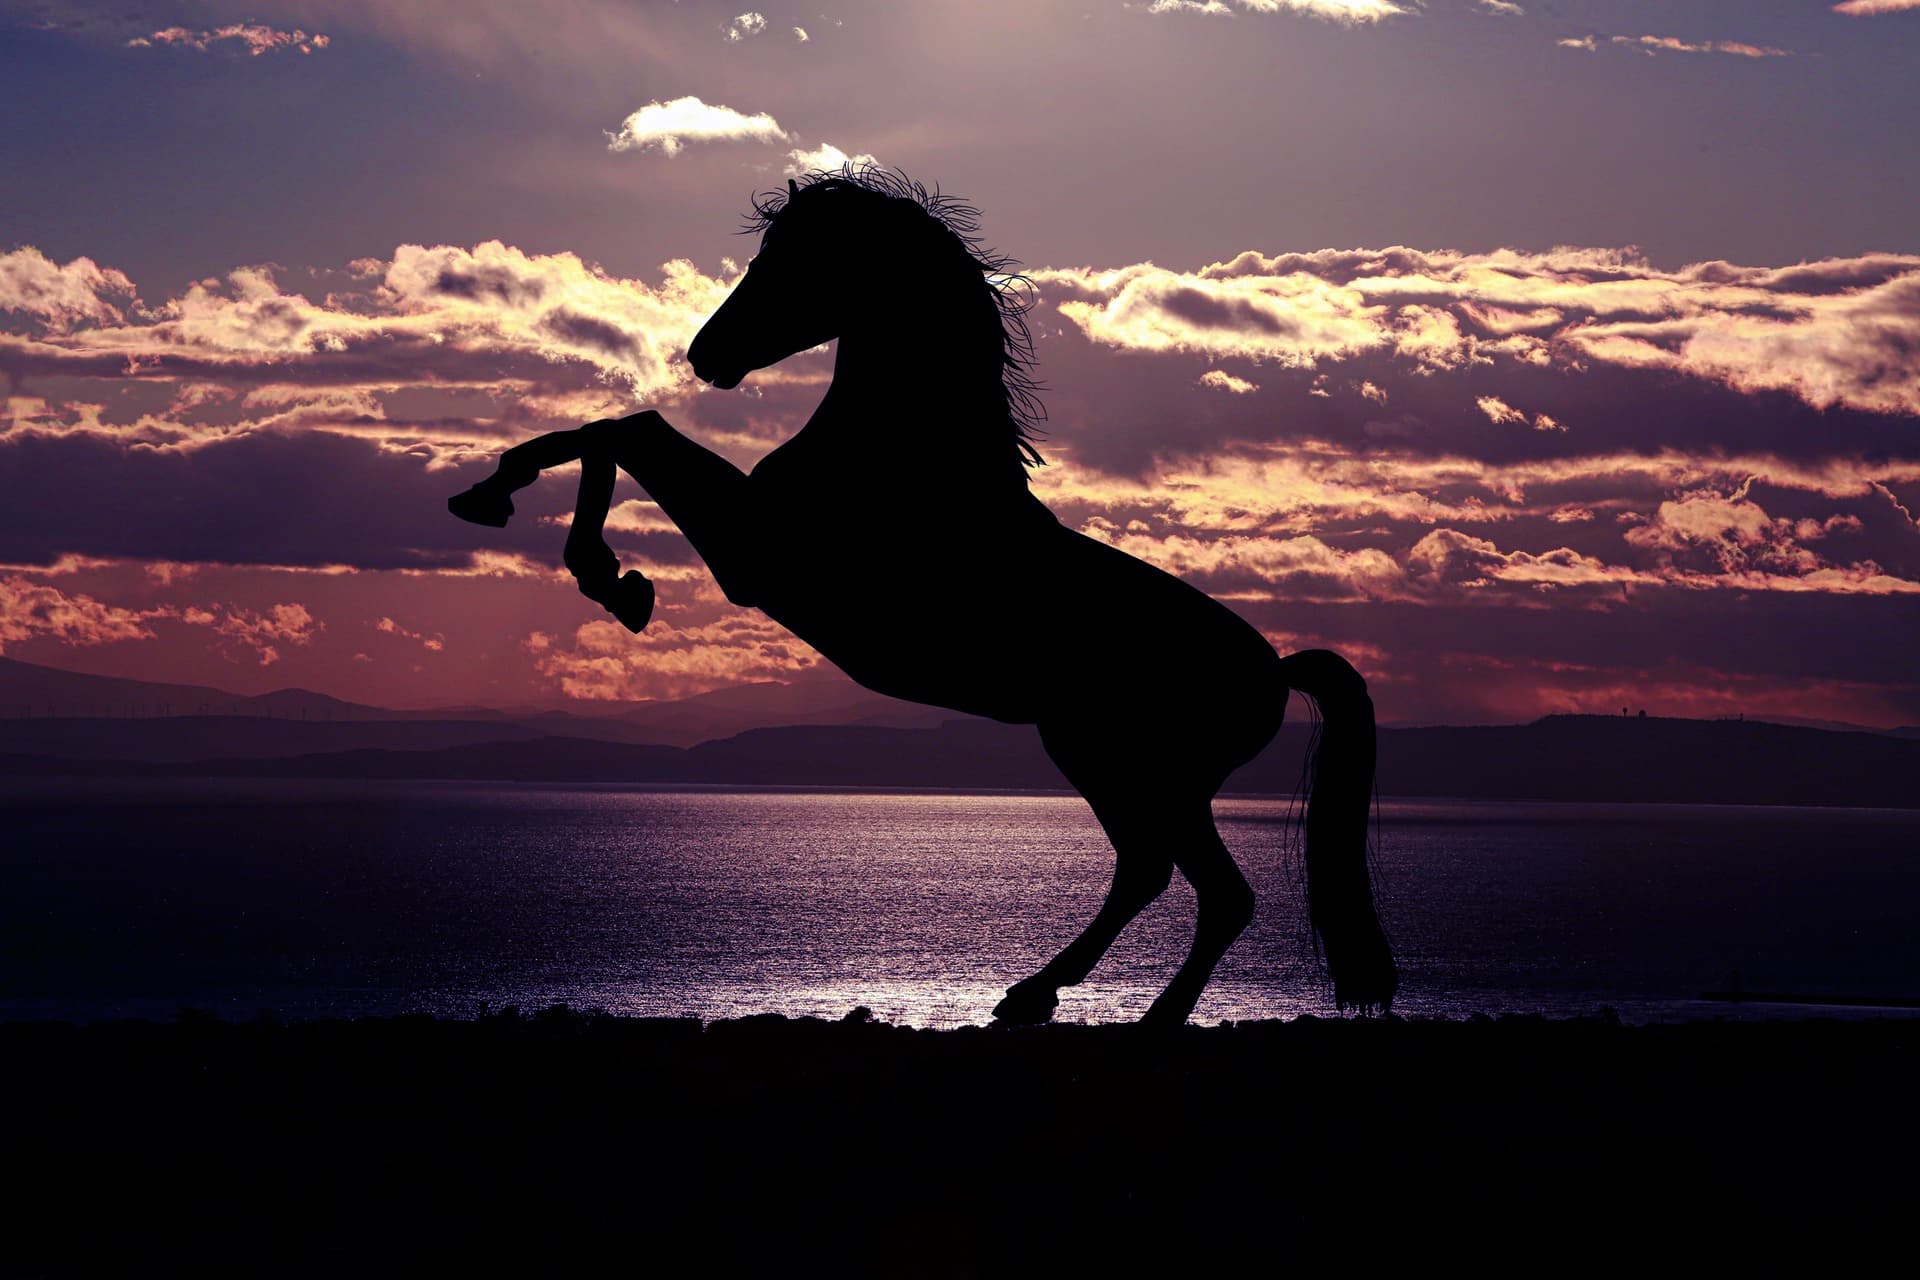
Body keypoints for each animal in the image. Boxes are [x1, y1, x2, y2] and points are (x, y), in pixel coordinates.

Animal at [448, 166, 1395, 1025]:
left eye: (796, 259)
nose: (704, 356)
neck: (905, 459)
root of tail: (1275, 669)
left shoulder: (756, 555)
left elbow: (627, 431)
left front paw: (600, 571)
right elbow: (612, 430)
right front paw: (509, 506)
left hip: (1137, 768)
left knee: (1210, 889)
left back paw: (1140, 1016)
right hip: (1110, 763)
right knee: (1148, 872)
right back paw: (1032, 995)